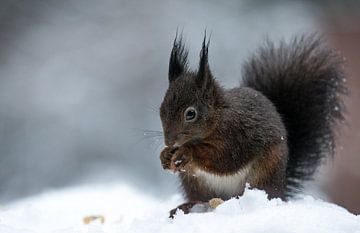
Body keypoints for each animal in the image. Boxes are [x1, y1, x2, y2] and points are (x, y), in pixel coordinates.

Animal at [158, 33, 346, 218]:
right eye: (161, 109)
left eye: (191, 114)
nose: (169, 142)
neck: (219, 116)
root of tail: (281, 190)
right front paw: (165, 156)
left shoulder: (236, 135)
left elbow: (223, 158)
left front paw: (187, 152)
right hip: (195, 183)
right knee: (201, 198)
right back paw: (188, 206)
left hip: (265, 172)